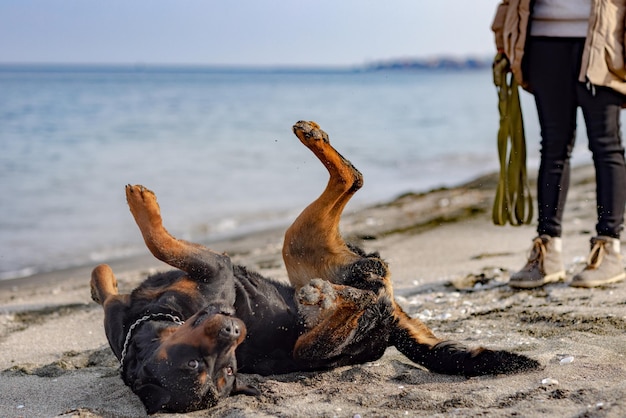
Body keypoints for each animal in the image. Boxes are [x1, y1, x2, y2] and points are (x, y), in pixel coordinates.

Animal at [90, 121, 540, 414]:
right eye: (198, 368)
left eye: (223, 367)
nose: (235, 328)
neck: (148, 319)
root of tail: (391, 323)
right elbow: (111, 281)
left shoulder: (214, 266)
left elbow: (146, 249)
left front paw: (136, 216)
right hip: (307, 277)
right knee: (356, 215)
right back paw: (330, 294)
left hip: (299, 248)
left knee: (353, 181)